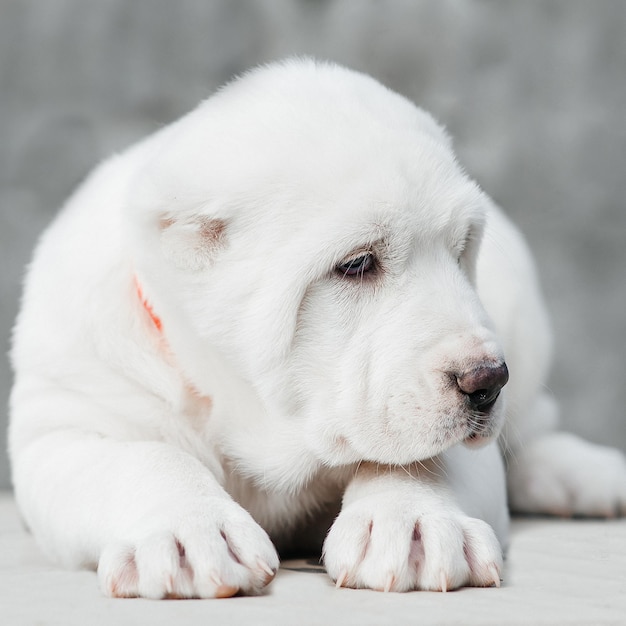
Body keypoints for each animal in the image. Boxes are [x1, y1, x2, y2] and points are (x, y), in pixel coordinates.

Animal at [8, 58, 624, 596]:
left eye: (460, 250)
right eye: (356, 264)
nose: (488, 380)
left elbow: (426, 455)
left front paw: (413, 521)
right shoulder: (63, 422)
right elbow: (142, 458)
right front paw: (191, 530)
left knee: (531, 429)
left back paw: (585, 475)